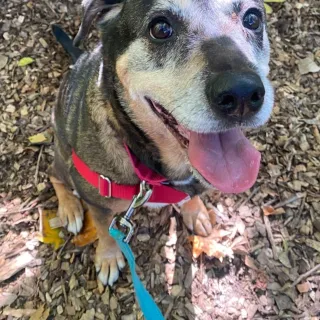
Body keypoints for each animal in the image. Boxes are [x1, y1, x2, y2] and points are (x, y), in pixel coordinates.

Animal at [50, 0, 272, 288]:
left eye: (252, 19)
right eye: (161, 28)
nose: (242, 94)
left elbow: (191, 196)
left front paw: (196, 213)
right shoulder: (98, 201)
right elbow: (104, 231)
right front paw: (108, 257)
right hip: (64, 155)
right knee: (54, 175)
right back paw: (69, 208)